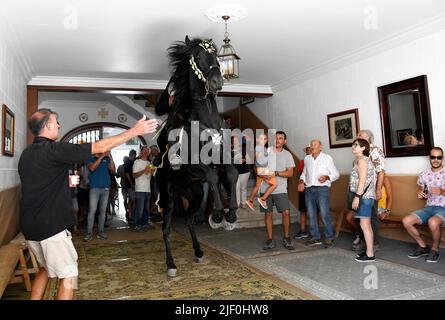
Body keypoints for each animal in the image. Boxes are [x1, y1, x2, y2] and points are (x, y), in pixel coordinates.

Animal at [156, 36, 239, 276]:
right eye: (199, 56)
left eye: (216, 56)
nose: (217, 81)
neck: (207, 120)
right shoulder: (196, 165)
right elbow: (212, 176)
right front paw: (219, 214)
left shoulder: (224, 159)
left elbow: (231, 175)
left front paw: (231, 214)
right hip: (168, 196)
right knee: (166, 228)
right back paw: (171, 264)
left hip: (193, 195)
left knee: (190, 221)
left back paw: (199, 251)